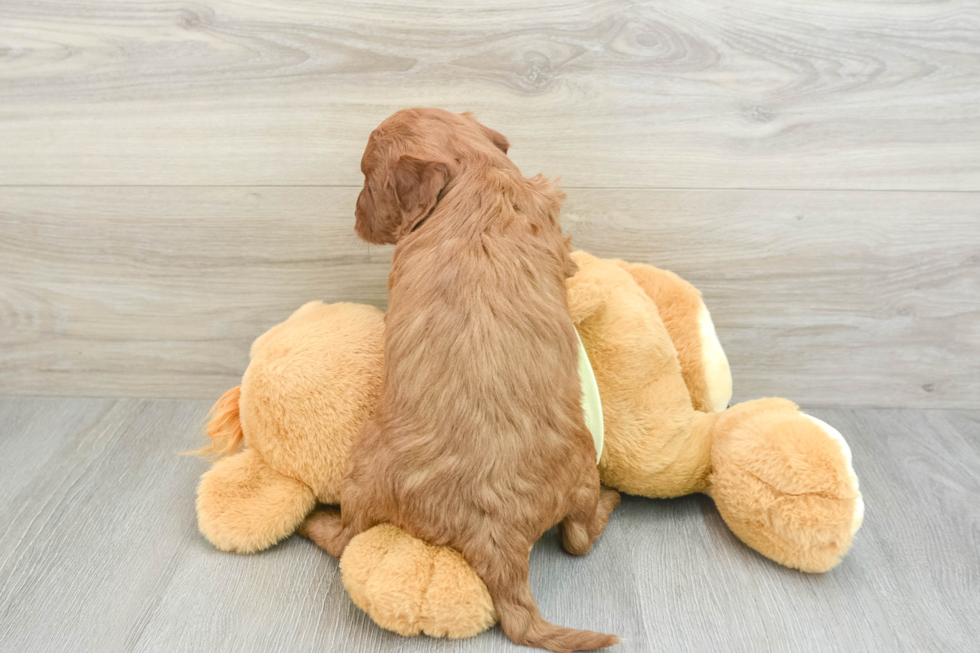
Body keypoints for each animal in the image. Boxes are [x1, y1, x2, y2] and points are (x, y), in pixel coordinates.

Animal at [302, 109, 616, 648]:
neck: (474, 178)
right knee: (577, 537)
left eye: (368, 179)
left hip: (362, 472)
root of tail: (498, 540)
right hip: (579, 475)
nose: (355, 216)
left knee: (347, 537)